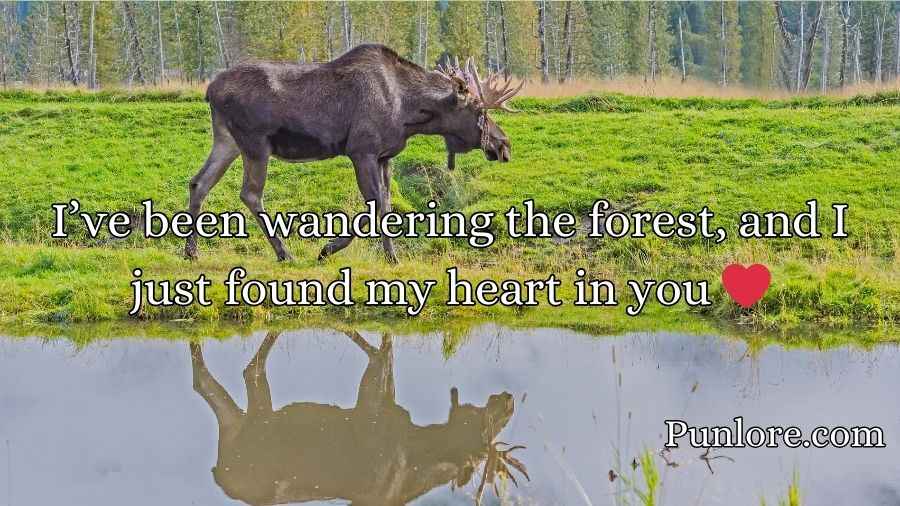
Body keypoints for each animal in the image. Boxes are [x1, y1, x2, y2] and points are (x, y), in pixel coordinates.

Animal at [184, 44, 524, 264]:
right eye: (479, 110)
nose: (503, 145)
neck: (409, 110)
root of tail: (210, 90)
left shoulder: (385, 156)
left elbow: (385, 204)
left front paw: (385, 255)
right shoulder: (362, 151)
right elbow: (375, 205)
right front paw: (332, 250)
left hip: (227, 140)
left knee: (199, 182)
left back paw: (191, 252)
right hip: (255, 143)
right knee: (251, 194)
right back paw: (285, 253)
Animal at [189, 330, 529, 506]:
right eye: (481, 444)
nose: (509, 402)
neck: (418, 445)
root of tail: (219, 474)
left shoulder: (385, 401)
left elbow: (384, 352)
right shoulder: (372, 408)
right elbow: (380, 353)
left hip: (239, 424)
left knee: (220, 383)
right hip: (259, 426)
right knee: (250, 370)